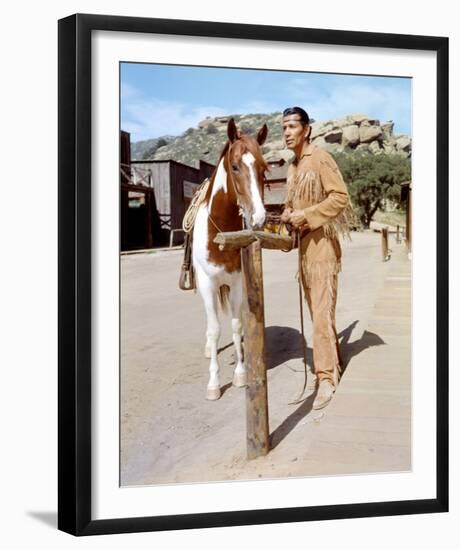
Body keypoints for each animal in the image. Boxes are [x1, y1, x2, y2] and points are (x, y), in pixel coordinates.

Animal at [191, 118, 270, 402]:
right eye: (235, 166)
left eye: (263, 169)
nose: (259, 217)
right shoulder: (207, 284)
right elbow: (215, 330)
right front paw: (214, 383)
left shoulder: (236, 283)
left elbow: (236, 326)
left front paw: (241, 373)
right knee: (210, 325)